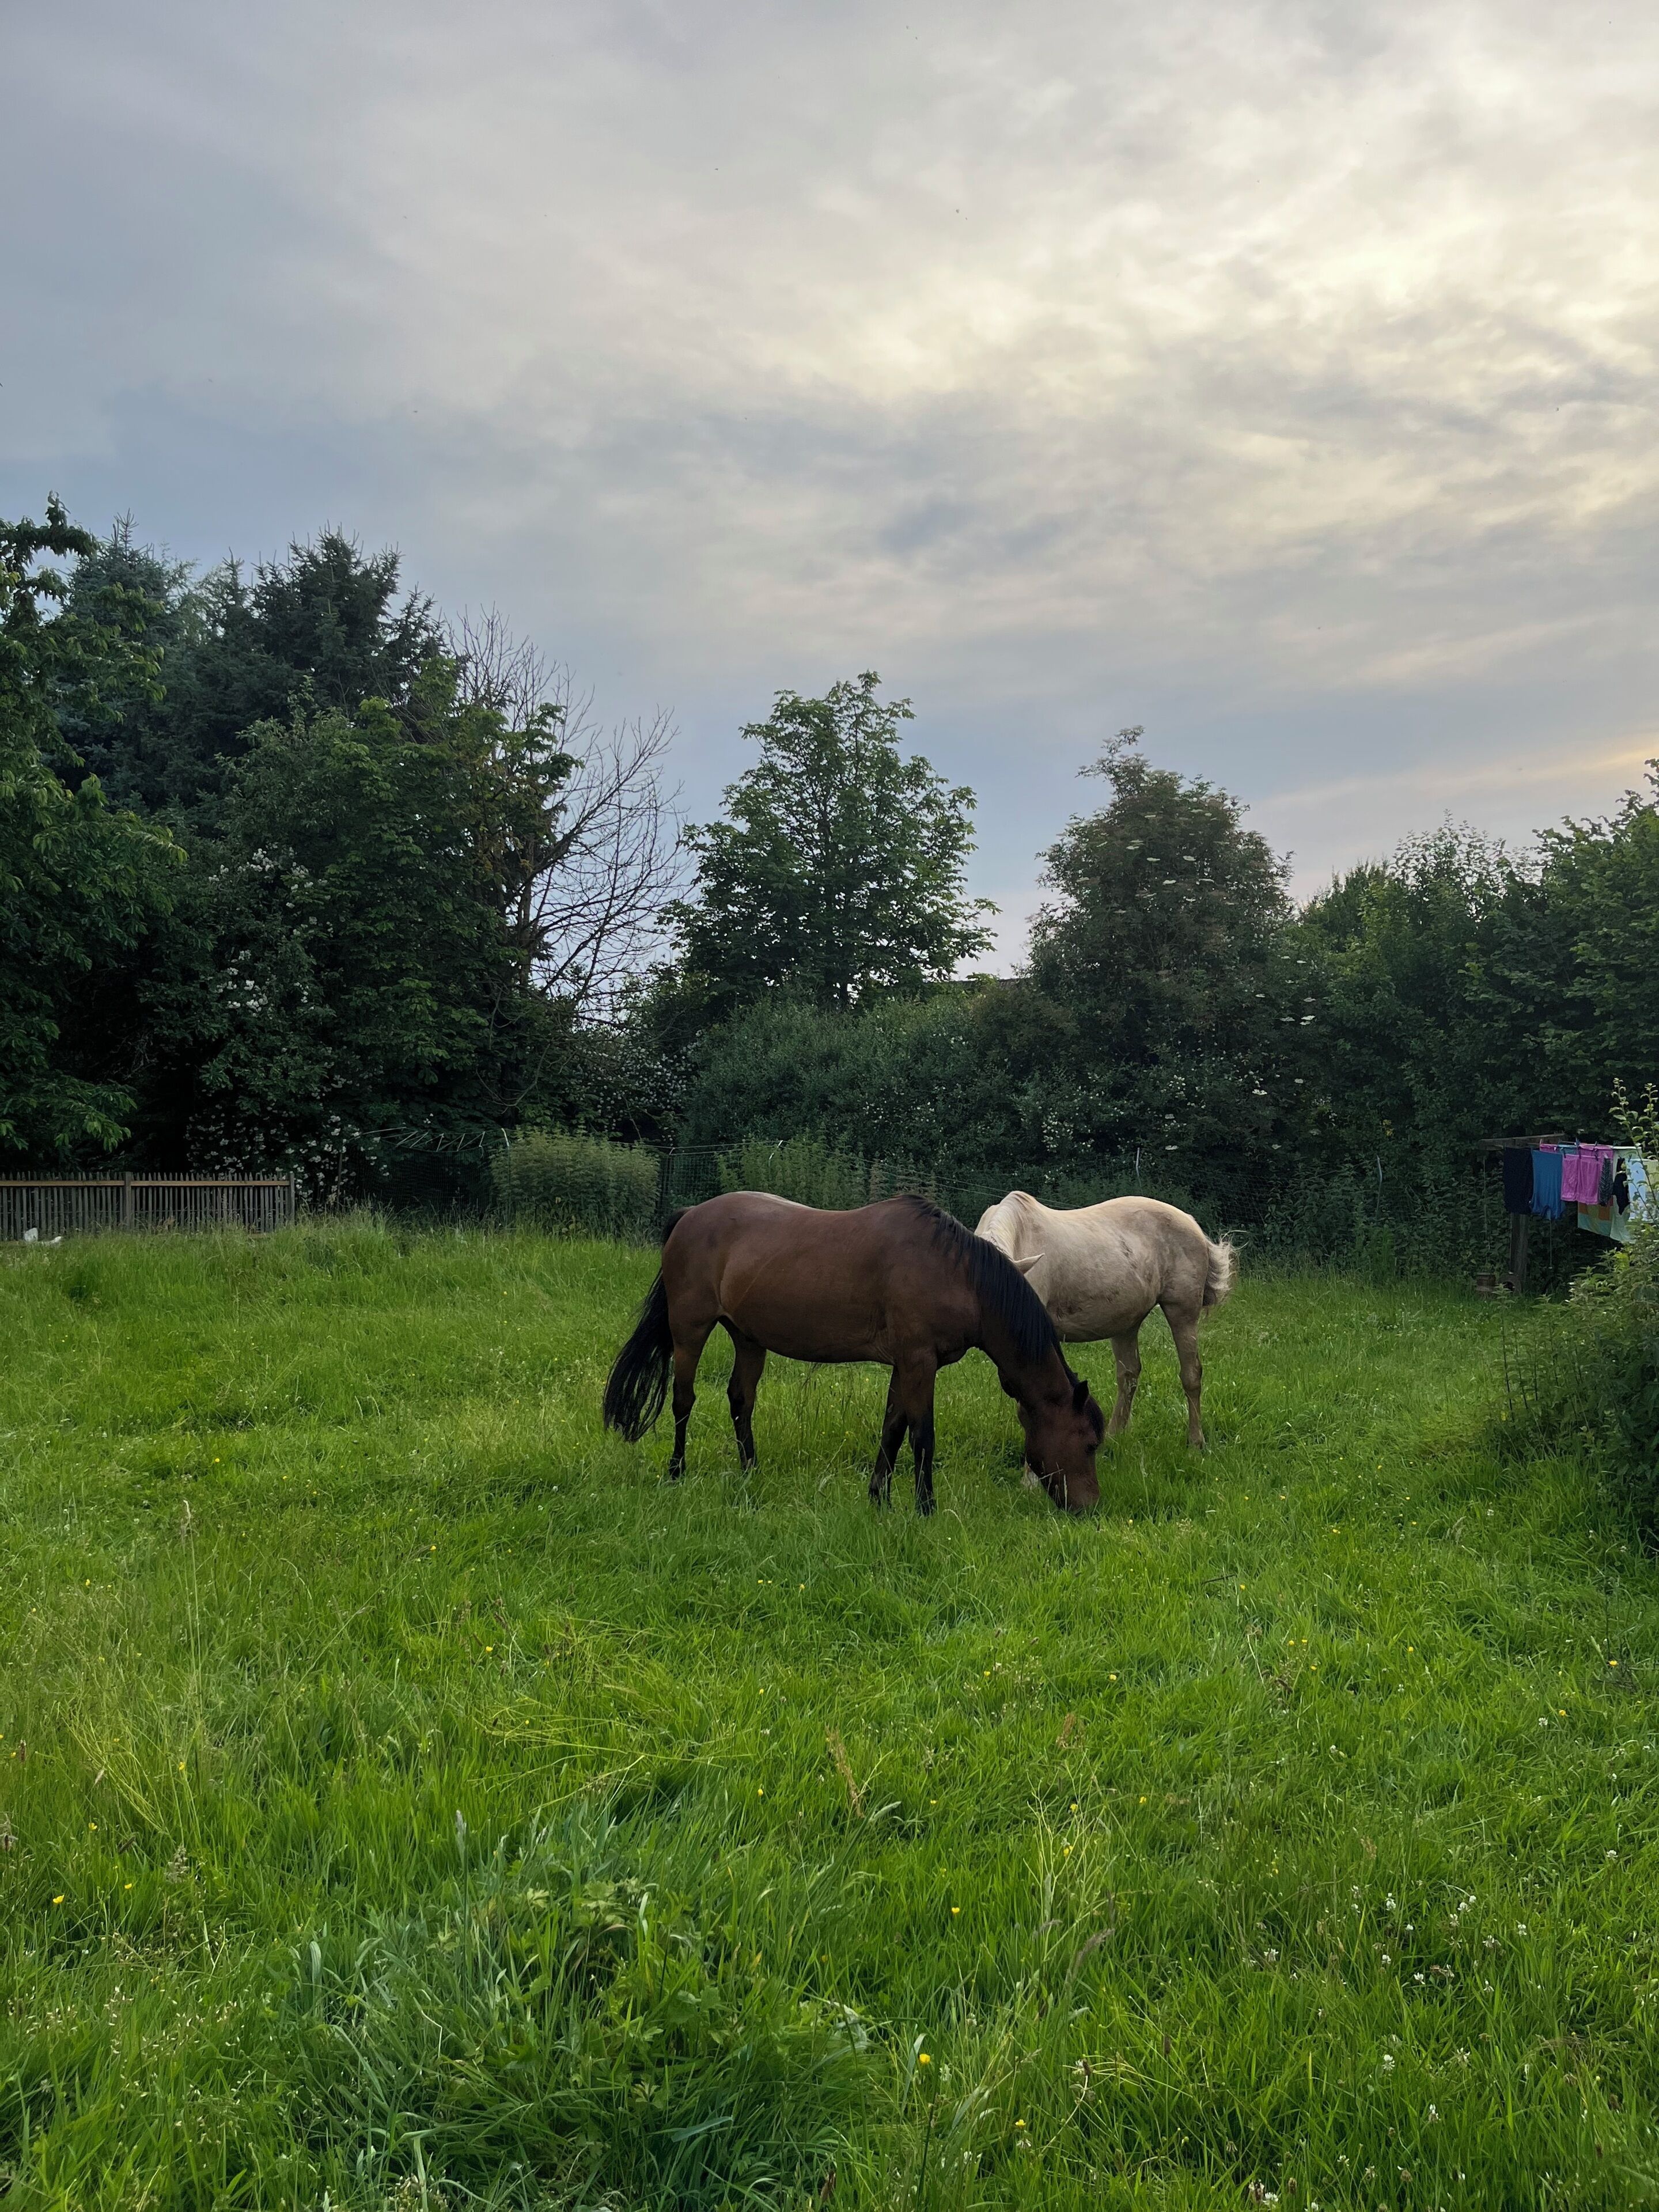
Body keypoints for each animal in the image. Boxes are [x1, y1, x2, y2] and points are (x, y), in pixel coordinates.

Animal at [602, 1192, 1105, 1514]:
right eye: (1089, 1443)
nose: (1089, 1509)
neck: (959, 1277)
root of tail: (690, 1215)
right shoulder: (920, 1362)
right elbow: (923, 1436)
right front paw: (925, 1508)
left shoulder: (906, 1364)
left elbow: (893, 1429)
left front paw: (878, 1498)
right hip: (690, 1330)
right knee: (683, 1401)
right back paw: (677, 1472)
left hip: (747, 1337)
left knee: (741, 1401)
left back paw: (750, 1473)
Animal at [973, 1192, 1233, 1448]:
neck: (1022, 1236)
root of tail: (1192, 1223)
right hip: (1127, 1323)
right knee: (1129, 1375)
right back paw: (1112, 1437)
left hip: (1182, 1313)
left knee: (1191, 1375)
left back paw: (1195, 1442)